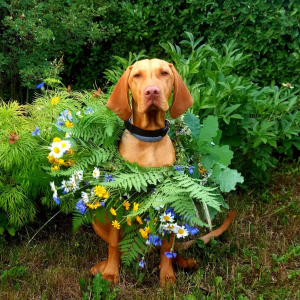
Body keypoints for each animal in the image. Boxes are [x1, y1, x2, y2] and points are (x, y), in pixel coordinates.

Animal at [90, 58, 236, 286]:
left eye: (164, 73)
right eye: (137, 75)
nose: (152, 91)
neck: (149, 138)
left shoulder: (169, 200)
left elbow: (167, 247)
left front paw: (167, 276)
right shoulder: (120, 202)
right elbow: (113, 244)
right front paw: (111, 272)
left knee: (170, 248)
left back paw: (183, 261)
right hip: (97, 221)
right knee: (120, 246)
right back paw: (102, 266)